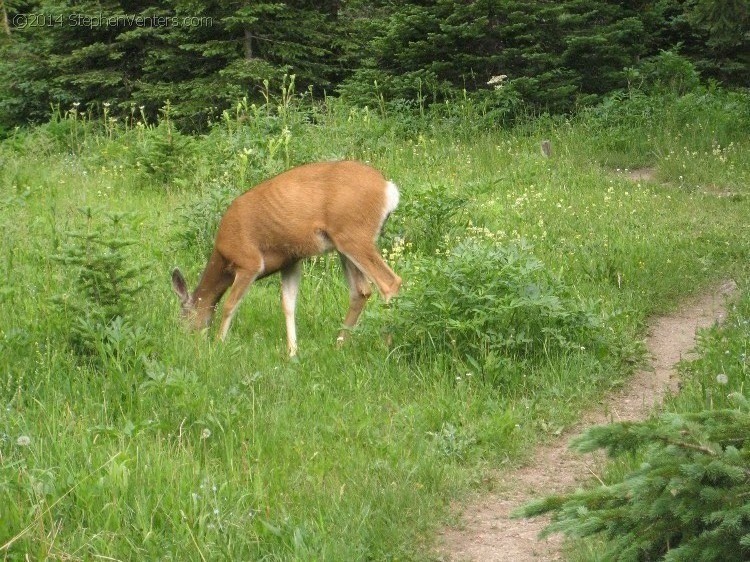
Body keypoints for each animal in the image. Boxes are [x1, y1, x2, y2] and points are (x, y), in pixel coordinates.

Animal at [172, 160, 406, 356]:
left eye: (183, 315)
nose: (184, 339)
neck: (223, 258)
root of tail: (388, 188)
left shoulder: (249, 261)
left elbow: (230, 304)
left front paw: (218, 344)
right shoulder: (291, 261)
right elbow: (288, 303)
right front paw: (292, 351)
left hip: (354, 235)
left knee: (390, 283)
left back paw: (387, 346)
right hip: (343, 244)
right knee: (361, 291)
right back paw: (338, 344)